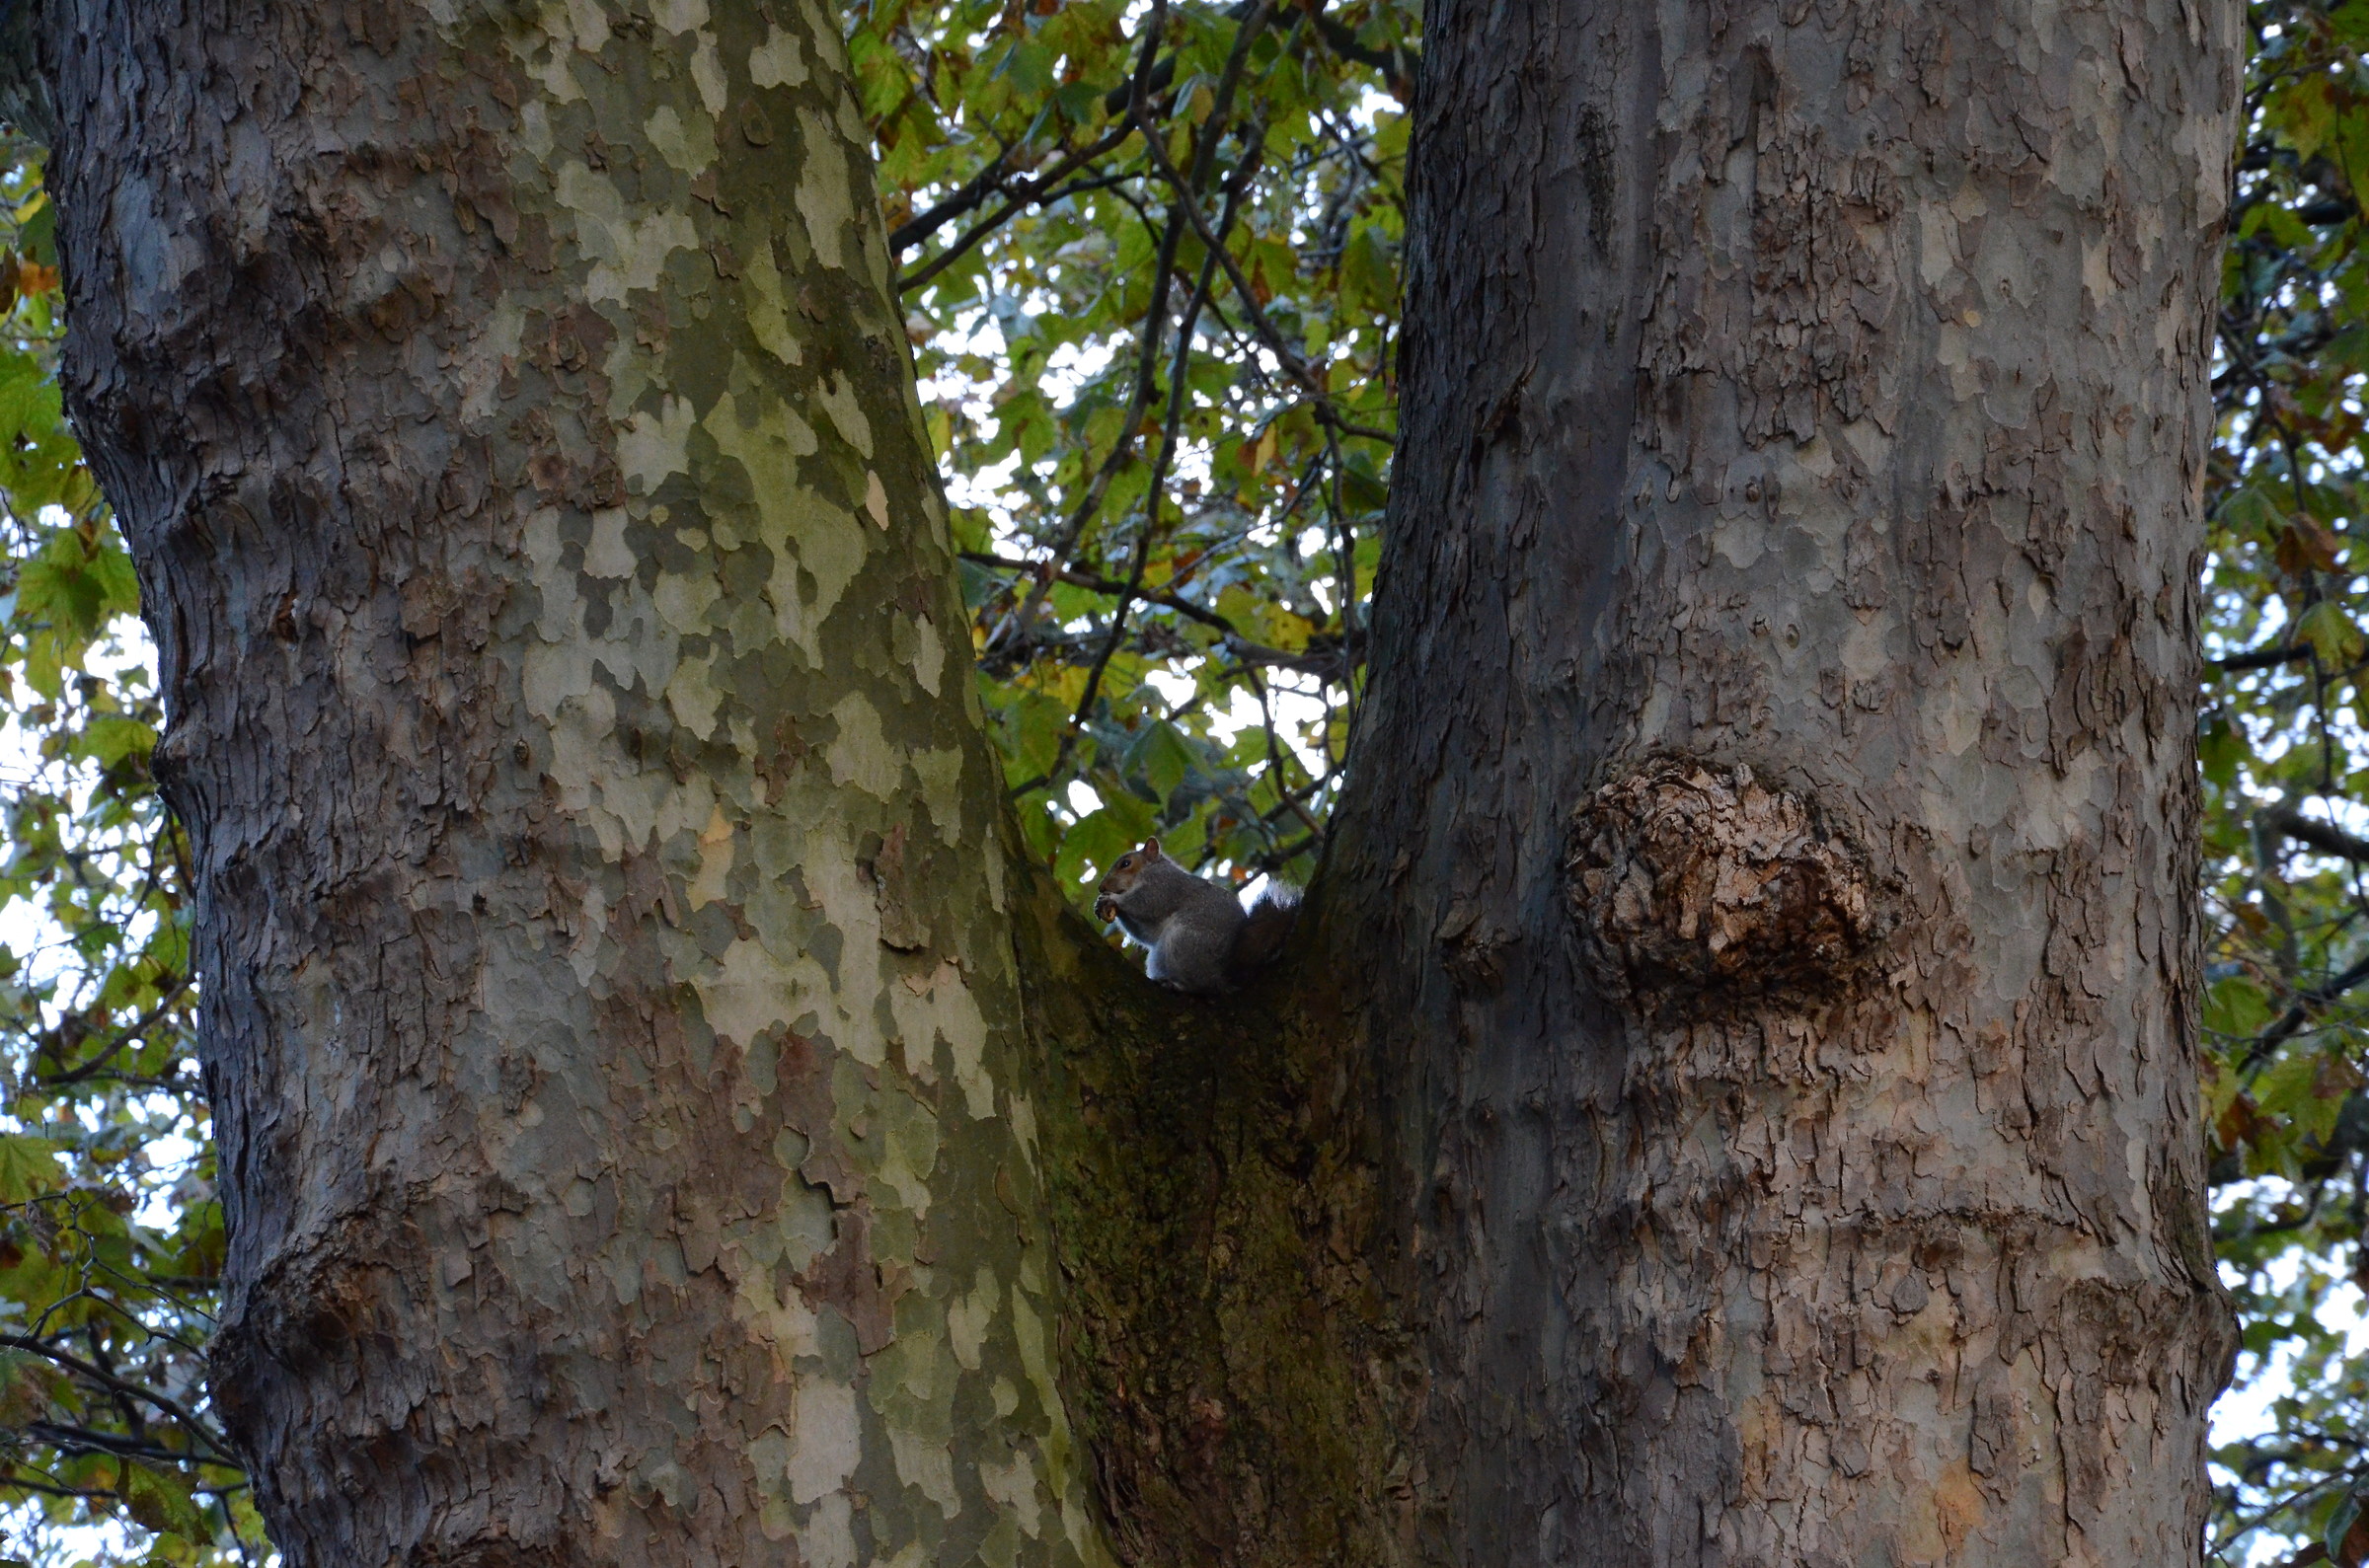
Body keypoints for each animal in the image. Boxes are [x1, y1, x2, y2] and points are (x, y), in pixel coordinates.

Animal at [1093, 838, 1300, 995]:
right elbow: (1147, 934)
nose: (1101, 888)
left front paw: (1113, 899)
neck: (1148, 870)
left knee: (1206, 987)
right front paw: (1102, 903)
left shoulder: (1164, 886)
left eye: (1126, 863)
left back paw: (1182, 986)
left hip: (1185, 943)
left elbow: (1145, 903)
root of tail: (1226, 973)